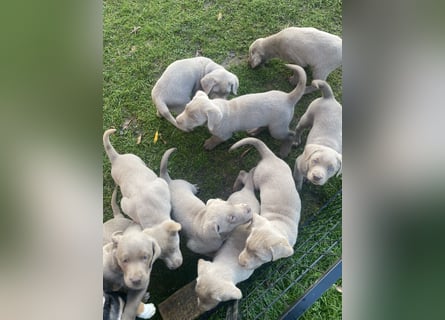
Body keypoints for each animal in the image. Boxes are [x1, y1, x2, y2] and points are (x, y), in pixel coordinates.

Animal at [175, 63, 306, 158]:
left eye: (193, 117)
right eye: (185, 108)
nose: (177, 121)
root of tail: (288, 97)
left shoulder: (224, 135)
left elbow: (216, 139)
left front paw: (209, 144)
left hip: (277, 129)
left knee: (290, 135)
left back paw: (284, 151)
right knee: (265, 126)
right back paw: (254, 131)